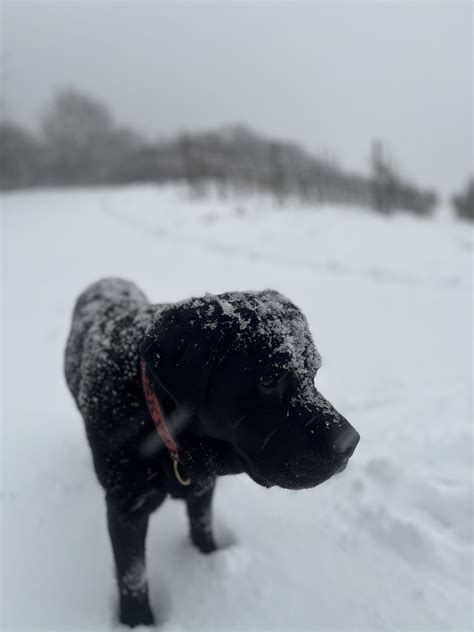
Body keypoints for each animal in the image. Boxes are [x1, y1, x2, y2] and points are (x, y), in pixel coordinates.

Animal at [64, 278, 360, 628]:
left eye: (313, 372)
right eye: (267, 379)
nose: (351, 442)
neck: (154, 422)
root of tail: (108, 279)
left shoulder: (204, 486)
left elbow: (203, 525)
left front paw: (208, 559)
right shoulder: (125, 508)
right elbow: (133, 575)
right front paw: (137, 621)